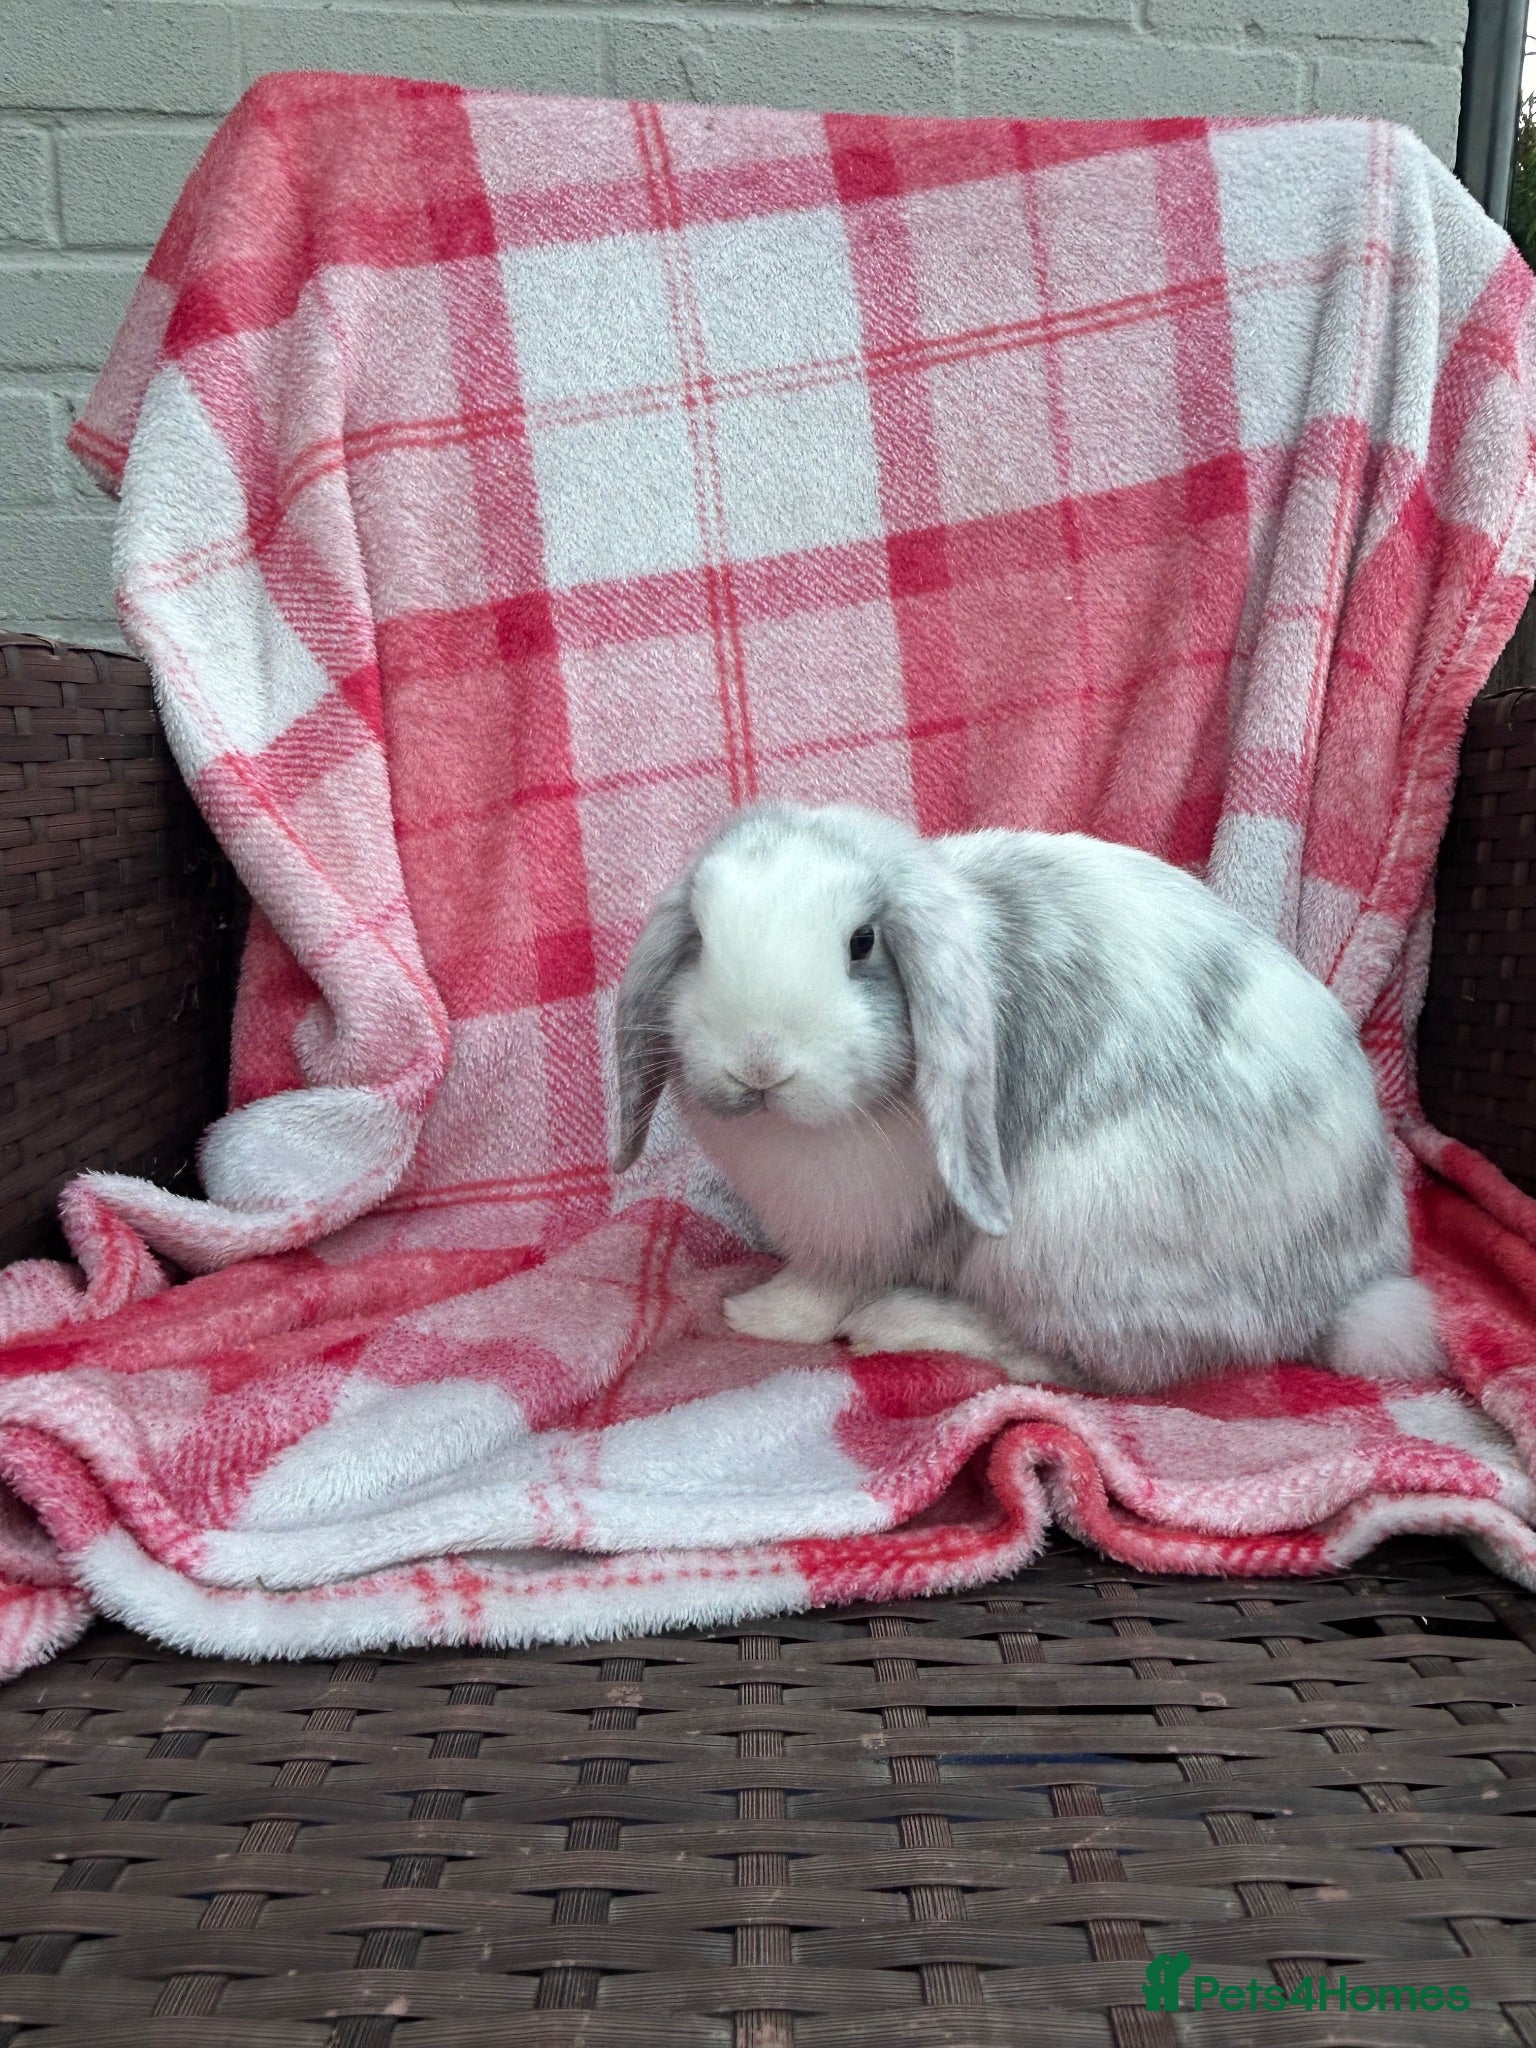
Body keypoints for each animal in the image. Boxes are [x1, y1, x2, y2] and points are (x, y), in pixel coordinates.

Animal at [613, 802, 1444, 1393]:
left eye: (861, 943)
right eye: (699, 937)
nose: (759, 1063)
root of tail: (1343, 1291)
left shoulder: (862, 1228)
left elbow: (826, 1287)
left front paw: (761, 1317)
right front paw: (753, 1309)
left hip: (1064, 1239)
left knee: (1093, 1367)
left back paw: (908, 1323)